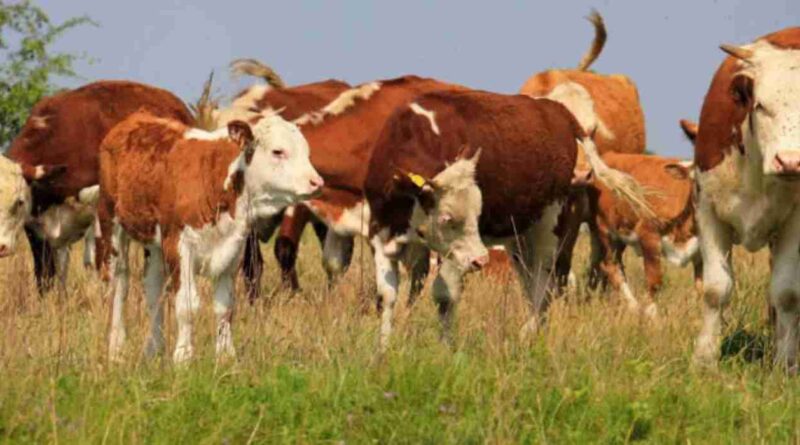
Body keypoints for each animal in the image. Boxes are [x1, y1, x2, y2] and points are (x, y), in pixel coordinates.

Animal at [98, 110, 324, 360]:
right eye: (278, 151)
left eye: (306, 151)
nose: (317, 182)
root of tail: (137, 117)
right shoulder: (179, 245)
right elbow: (186, 305)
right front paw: (183, 356)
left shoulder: (233, 250)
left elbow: (225, 306)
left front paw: (226, 355)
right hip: (112, 225)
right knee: (119, 284)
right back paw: (116, 348)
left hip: (155, 245)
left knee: (153, 286)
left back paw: (154, 348)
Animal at [366, 87, 652, 350]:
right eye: (447, 218)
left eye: (478, 214)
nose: (481, 260)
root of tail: (558, 111)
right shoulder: (381, 234)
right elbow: (387, 295)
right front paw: (383, 351)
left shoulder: (454, 253)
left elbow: (444, 296)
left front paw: (445, 350)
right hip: (520, 238)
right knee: (531, 284)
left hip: (551, 228)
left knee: (545, 285)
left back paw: (526, 334)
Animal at [692, 27, 800, 372]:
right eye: (761, 106)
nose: (790, 162)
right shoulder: (707, 210)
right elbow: (716, 289)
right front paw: (704, 358)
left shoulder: (795, 222)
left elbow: (786, 292)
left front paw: (786, 363)